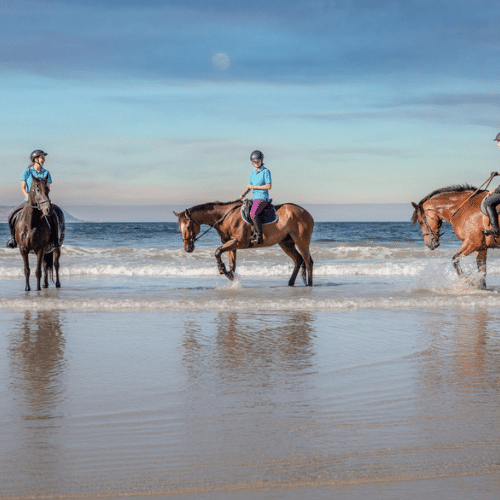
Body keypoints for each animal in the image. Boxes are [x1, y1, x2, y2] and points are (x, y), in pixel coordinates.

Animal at [174, 199, 314, 286]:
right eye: (180, 228)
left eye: (188, 227)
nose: (187, 248)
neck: (225, 217)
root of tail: (306, 213)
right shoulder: (231, 245)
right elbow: (232, 264)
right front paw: (230, 275)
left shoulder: (237, 242)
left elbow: (217, 252)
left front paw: (223, 269)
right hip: (285, 243)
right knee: (298, 260)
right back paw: (291, 283)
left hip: (301, 241)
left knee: (308, 261)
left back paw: (309, 285)